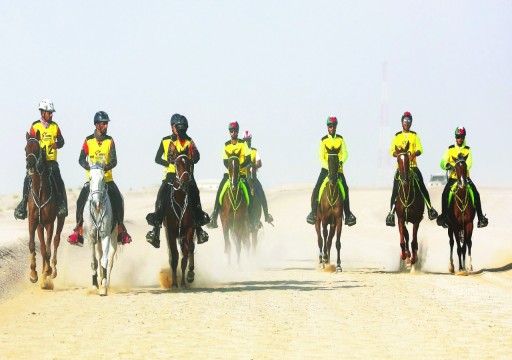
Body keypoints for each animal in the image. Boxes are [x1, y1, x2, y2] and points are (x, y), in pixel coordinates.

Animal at [24, 132, 64, 290]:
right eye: (25, 149)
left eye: (37, 149)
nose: (30, 165)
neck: (40, 190)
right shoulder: (33, 221)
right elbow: (32, 245)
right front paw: (34, 274)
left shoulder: (49, 223)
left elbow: (48, 249)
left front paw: (48, 272)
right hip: (40, 226)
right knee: (41, 247)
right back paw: (43, 276)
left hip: (59, 220)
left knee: (55, 241)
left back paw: (52, 272)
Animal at [83, 163, 117, 296]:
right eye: (90, 178)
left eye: (103, 179)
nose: (96, 202)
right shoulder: (91, 238)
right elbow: (94, 262)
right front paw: (94, 285)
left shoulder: (105, 236)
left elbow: (105, 261)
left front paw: (103, 287)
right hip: (97, 242)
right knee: (99, 256)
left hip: (114, 238)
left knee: (110, 261)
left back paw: (106, 282)